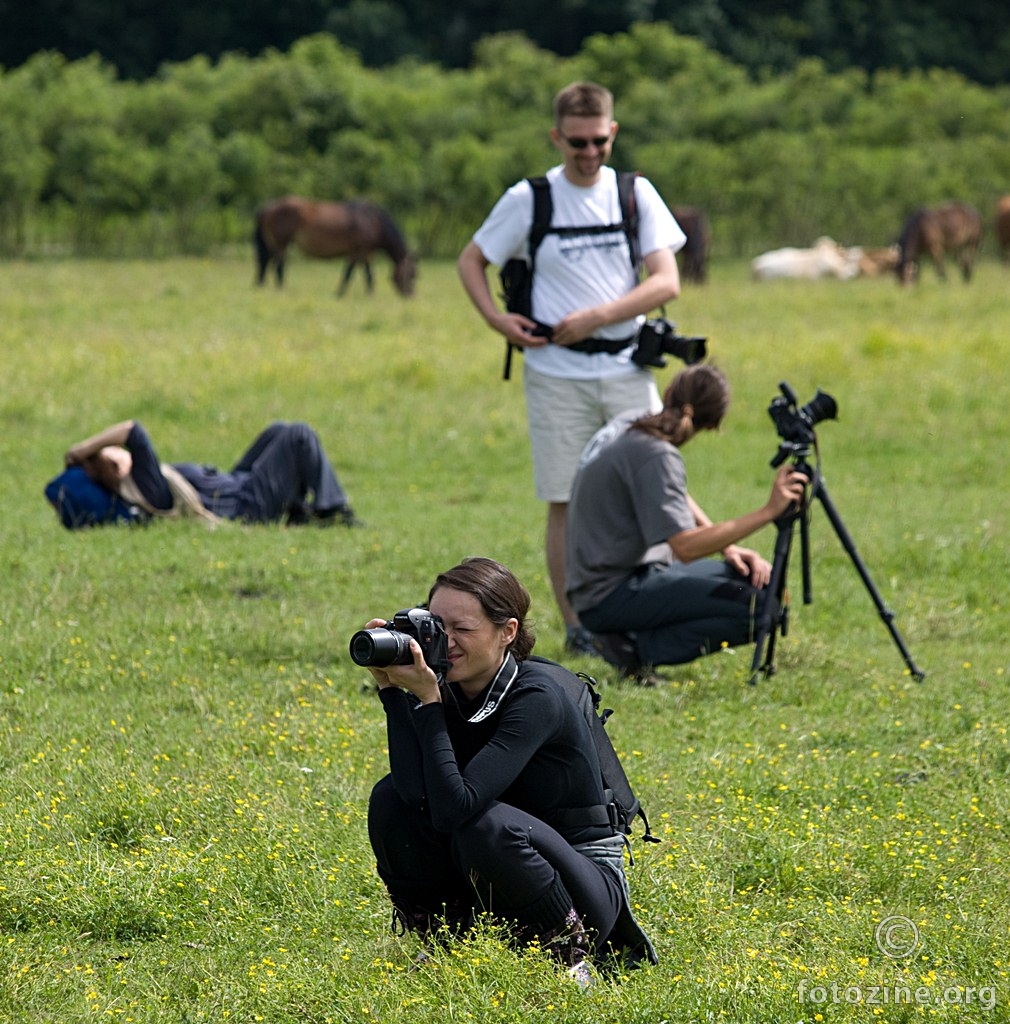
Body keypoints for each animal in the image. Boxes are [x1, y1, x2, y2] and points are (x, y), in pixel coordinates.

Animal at [254, 194, 415, 296]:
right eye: (412, 275)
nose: (411, 296)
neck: (372, 221)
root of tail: (268, 207)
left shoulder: (366, 253)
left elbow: (366, 273)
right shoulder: (358, 252)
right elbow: (352, 273)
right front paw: (343, 293)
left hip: (275, 245)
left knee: (267, 263)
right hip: (281, 244)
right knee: (279, 266)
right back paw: (281, 289)